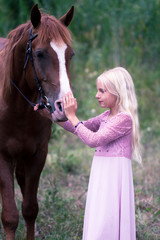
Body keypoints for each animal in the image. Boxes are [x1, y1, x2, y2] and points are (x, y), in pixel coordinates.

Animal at [0, 4, 74, 240]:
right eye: (40, 54)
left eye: (70, 54)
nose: (63, 106)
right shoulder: (2, 157)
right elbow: (10, 216)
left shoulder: (37, 155)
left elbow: (30, 209)